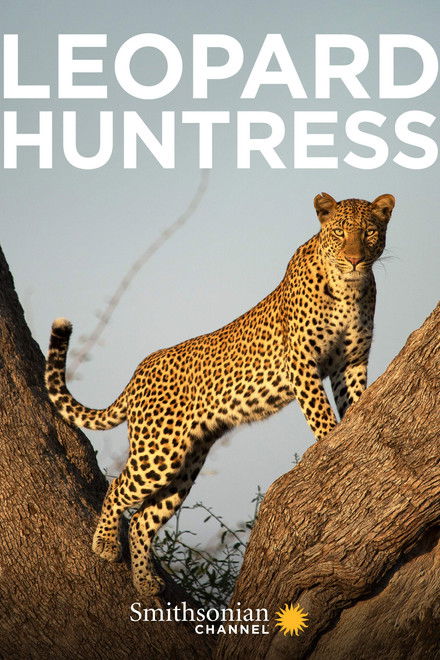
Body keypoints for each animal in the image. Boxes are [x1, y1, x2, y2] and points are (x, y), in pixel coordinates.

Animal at [45, 191, 395, 598]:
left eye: (369, 232)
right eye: (339, 232)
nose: (355, 259)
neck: (348, 290)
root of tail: (139, 372)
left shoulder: (351, 363)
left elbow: (353, 400)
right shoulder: (302, 363)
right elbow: (321, 414)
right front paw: (330, 445)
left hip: (186, 462)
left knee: (143, 519)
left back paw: (146, 582)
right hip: (158, 451)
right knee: (118, 487)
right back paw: (104, 544)